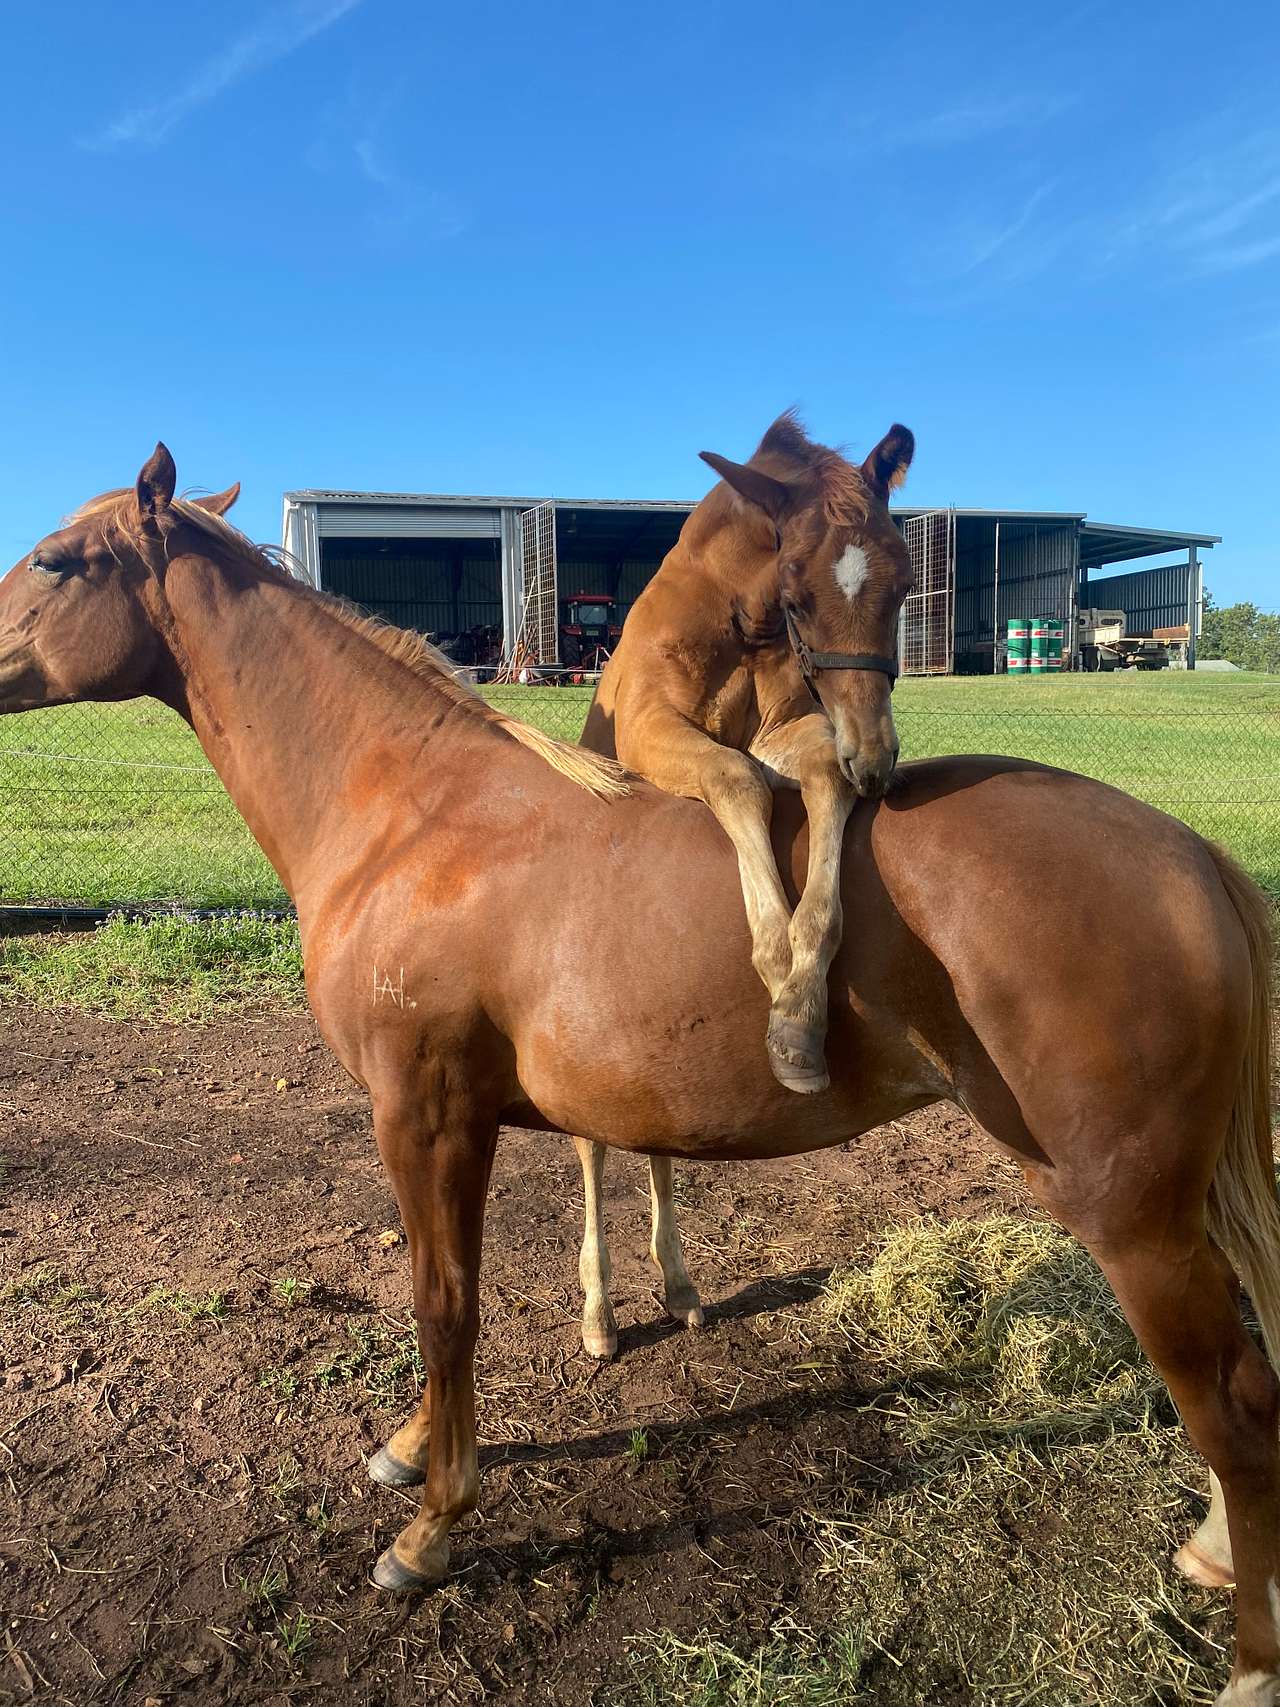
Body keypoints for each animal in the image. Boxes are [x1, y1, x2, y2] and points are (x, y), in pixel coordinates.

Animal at [571, 410, 913, 1354]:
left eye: (905, 585)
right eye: (798, 595)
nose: (880, 758)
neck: (740, 625)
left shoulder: (799, 730)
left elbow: (818, 780)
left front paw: (800, 1010)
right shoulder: (654, 727)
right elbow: (735, 781)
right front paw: (773, 964)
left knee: (651, 1130)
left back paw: (679, 1284)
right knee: (595, 1143)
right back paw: (600, 1309)